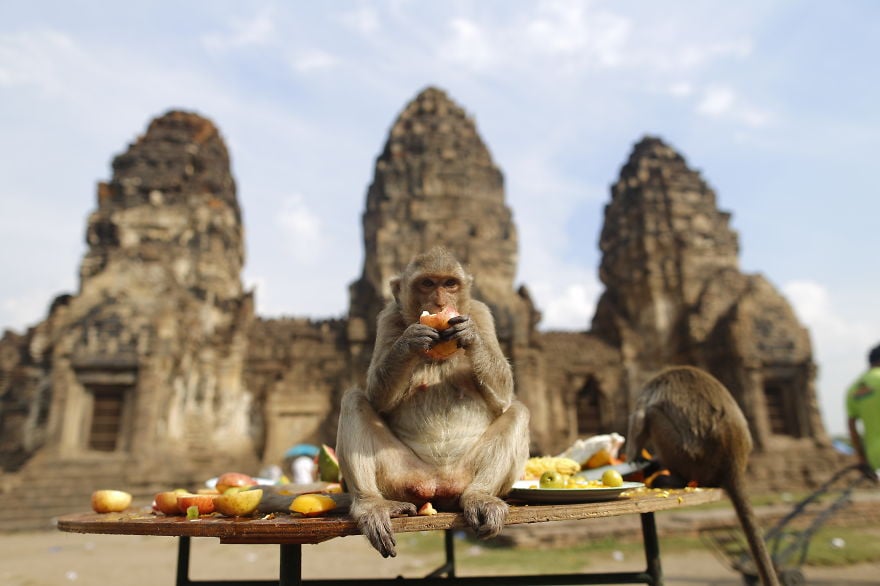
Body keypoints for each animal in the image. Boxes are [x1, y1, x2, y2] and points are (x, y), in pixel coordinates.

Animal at [336, 246, 528, 556]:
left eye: (449, 284)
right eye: (427, 283)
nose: (439, 301)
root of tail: (438, 484)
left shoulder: (481, 314)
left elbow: (503, 397)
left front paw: (471, 337)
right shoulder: (387, 317)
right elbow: (377, 399)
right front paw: (409, 341)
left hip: (463, 476)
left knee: (518, 411)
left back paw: (481, 497)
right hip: (400, 476)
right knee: (353, 399)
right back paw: (371, 505)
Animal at [628, 364, 780, 584]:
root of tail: (733, 462)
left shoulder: (646, 391)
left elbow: (639, 418)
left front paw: (632, 456)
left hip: (688, 456)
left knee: (653, 414)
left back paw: (671, 476)